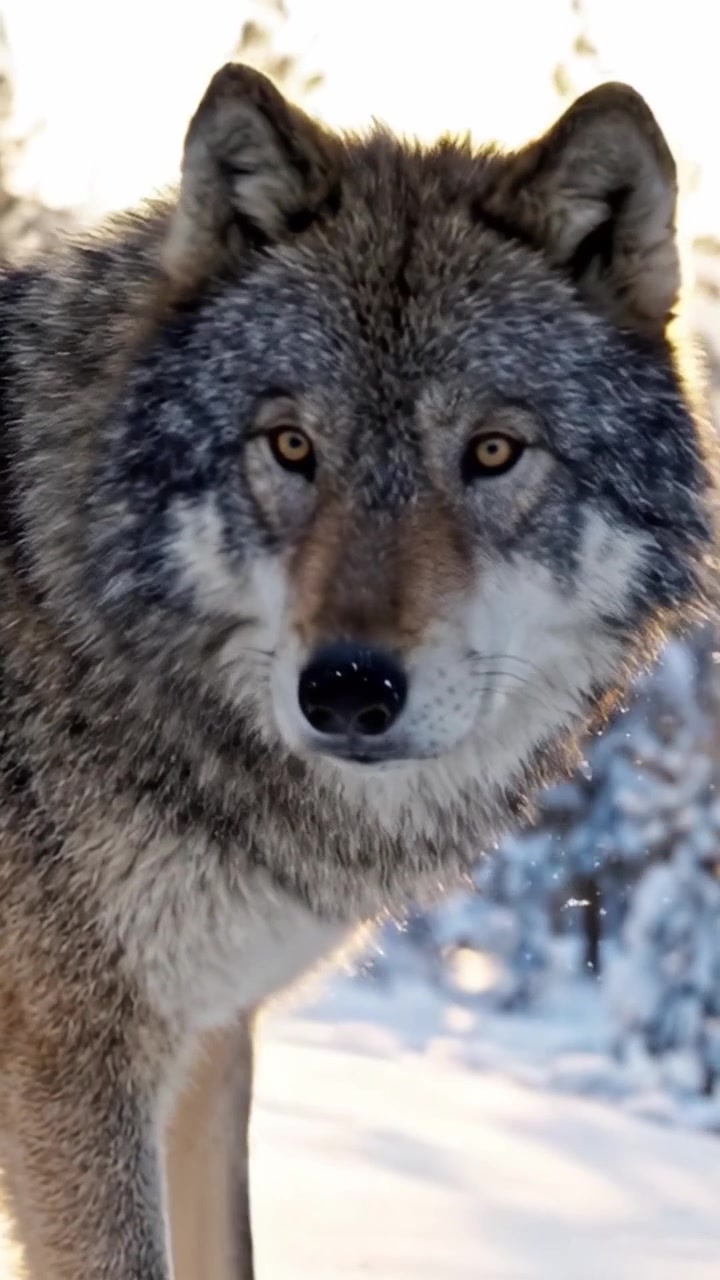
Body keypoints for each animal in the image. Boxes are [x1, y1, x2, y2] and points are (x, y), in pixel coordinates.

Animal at [0, 59, 715, 1279]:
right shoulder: (73, 1066)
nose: (347, 689)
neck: (76, 597)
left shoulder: (210, 1037)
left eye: (492, 452)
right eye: (292, 445)